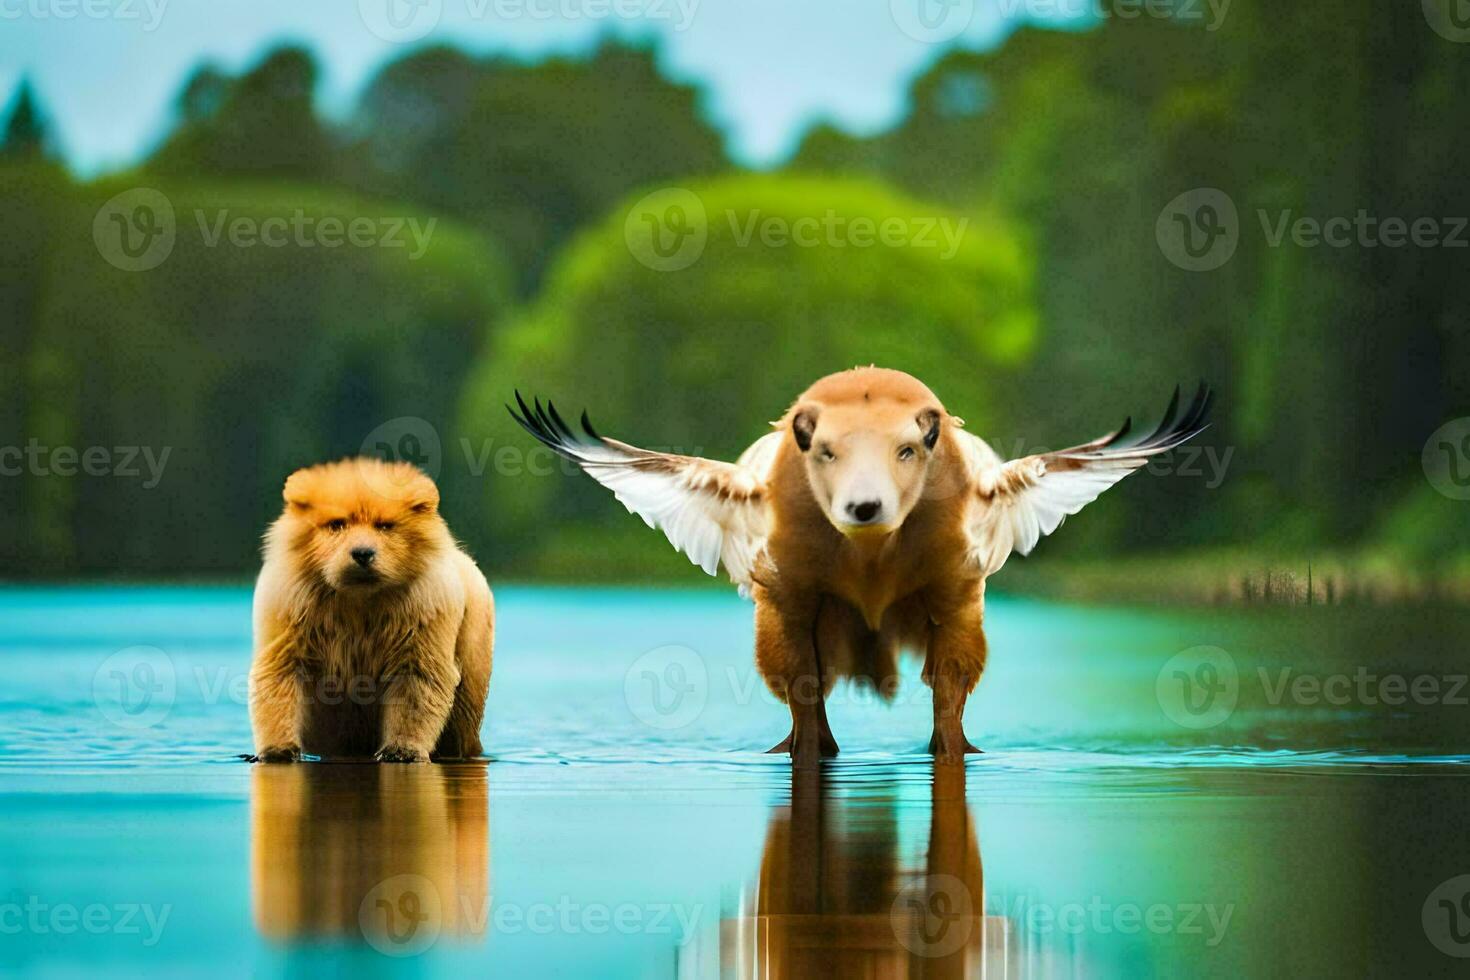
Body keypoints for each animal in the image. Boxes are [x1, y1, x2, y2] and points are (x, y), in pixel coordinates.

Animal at [245, 455, 488, 764]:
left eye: (385, 525)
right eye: (336, 524)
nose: (362, 553)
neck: (358, 600)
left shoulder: (424, 617)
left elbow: (417, 687)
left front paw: (401, 750)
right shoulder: (289, 613)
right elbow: (279, 677)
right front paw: (277, 750)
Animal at [511, 365, 1211, 764]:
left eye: (910, 448)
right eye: (822, 450)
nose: (863, 506)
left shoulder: (955, 600)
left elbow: (949, 702)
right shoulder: (788, 604)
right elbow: (803, 696)